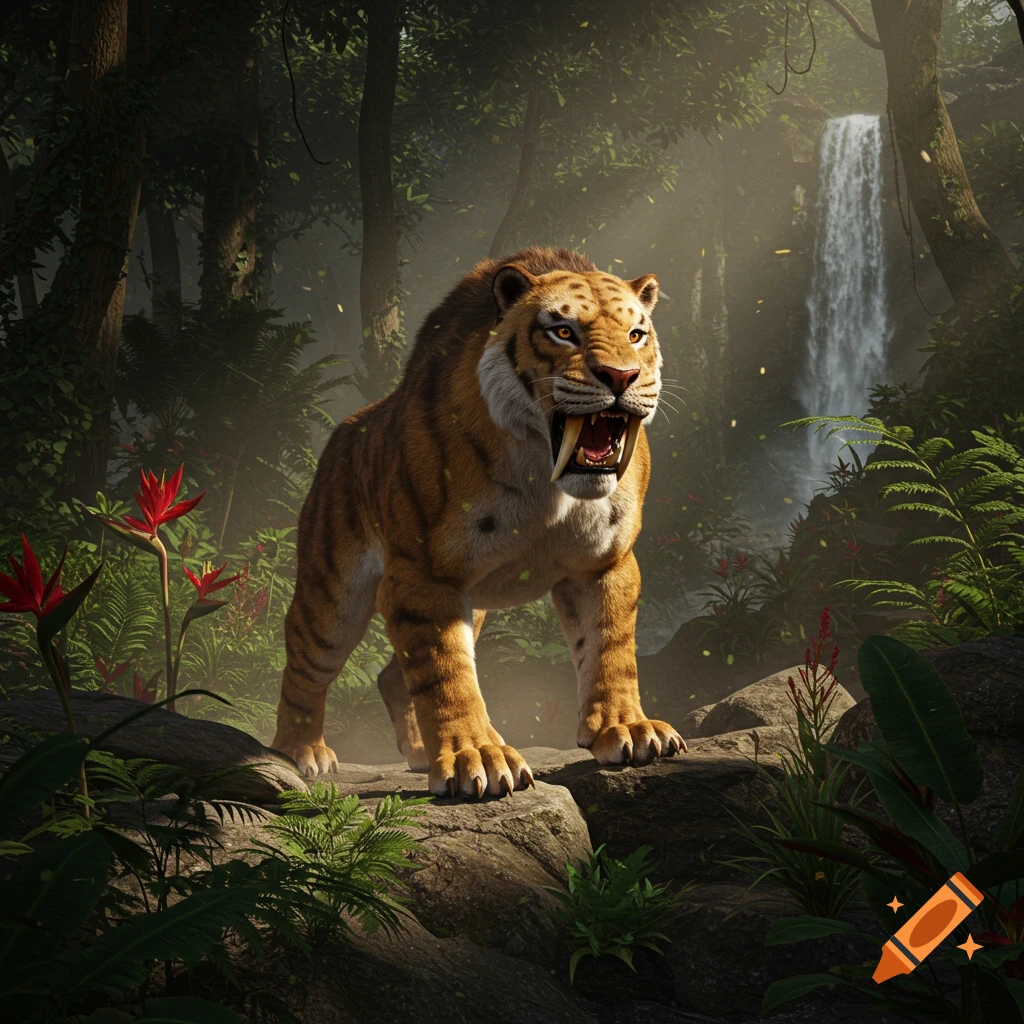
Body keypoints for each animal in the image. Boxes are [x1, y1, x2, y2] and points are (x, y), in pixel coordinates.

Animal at [271, 246, 686, 797]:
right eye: (563, 331)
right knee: (305, 665)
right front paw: (479, 758)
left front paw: (628, 729)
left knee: (391, 675)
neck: (545, 474)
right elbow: (447, 675)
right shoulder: (424, 577)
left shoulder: (603, 563)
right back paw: (300, 752)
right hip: (332, 596)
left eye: (636, 334)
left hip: (476, 604)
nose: (622, 377)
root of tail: (349, 427)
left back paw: (419, 752)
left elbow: (608, 648)